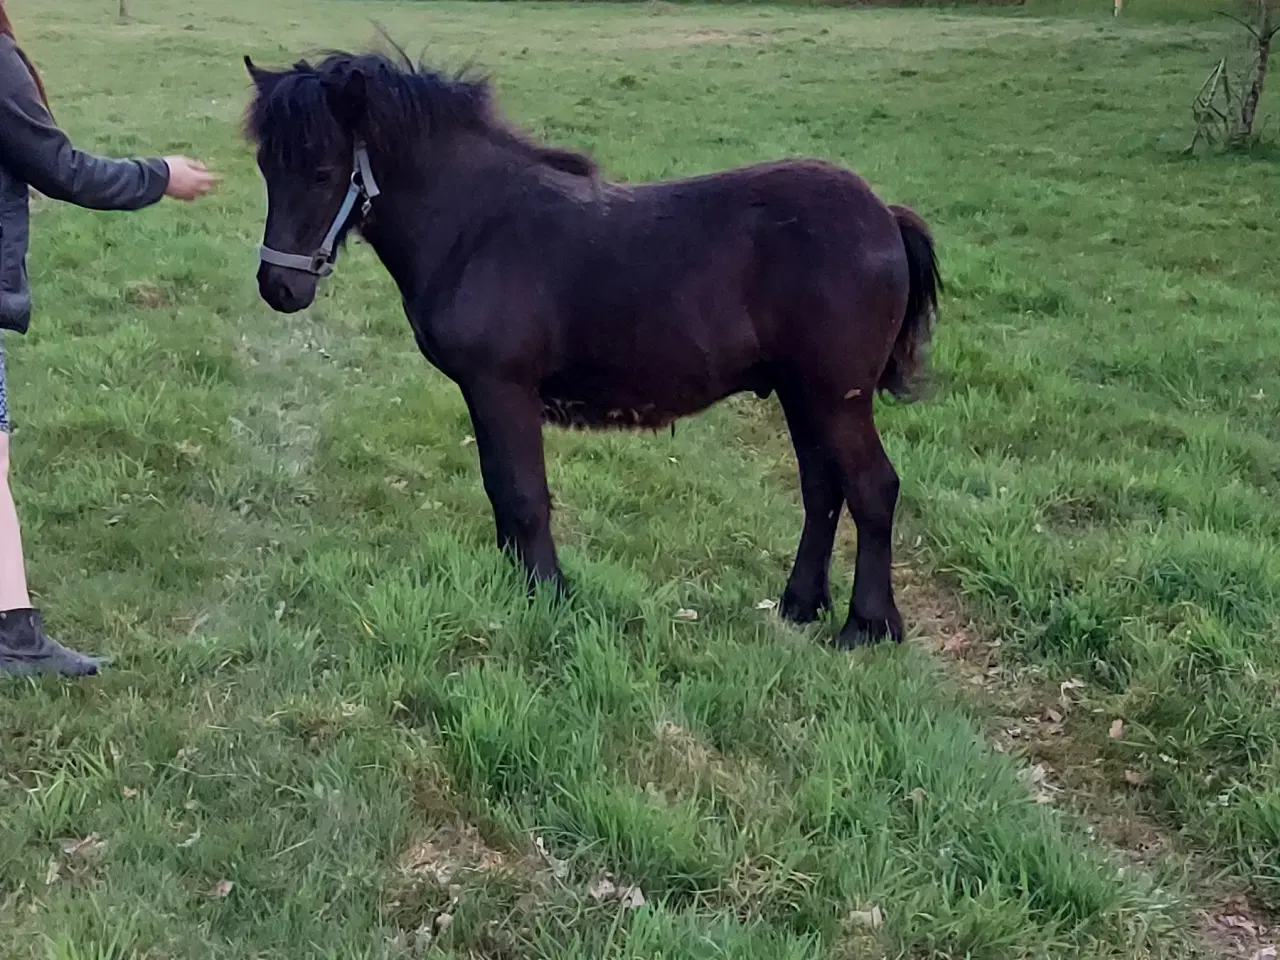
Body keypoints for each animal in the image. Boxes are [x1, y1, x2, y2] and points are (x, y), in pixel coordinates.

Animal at [241, 48, 942, 650]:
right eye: (266, 167)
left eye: (323, 171)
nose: (279, 287)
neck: (477, 228)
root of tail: (884, 214)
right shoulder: (484, 393)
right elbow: (500, 490)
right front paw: (516, 587)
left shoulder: (503, 388)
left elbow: (524, 495)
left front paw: (548, 594)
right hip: (803, 394)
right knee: (822, 487)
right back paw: (800, 603)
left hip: (835, 396)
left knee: (873, 488)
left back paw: (866, 626)